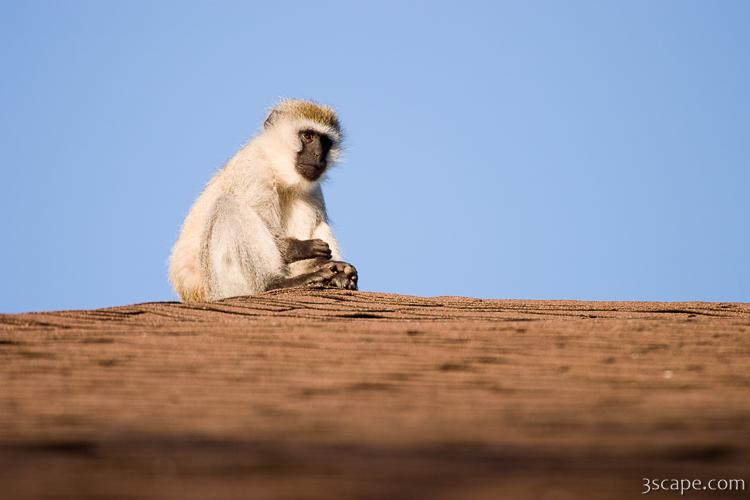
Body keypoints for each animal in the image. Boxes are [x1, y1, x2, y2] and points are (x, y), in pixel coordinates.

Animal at [168, 98, 357, 302]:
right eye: (307, 136)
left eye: (325, 142)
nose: (318, 155)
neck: (279, 170)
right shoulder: (255, 171)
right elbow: (268, 227)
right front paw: (300, 248)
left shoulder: (313, 191)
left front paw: (334, 269)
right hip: (221, 288)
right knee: (228, 206)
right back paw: (275, 283)